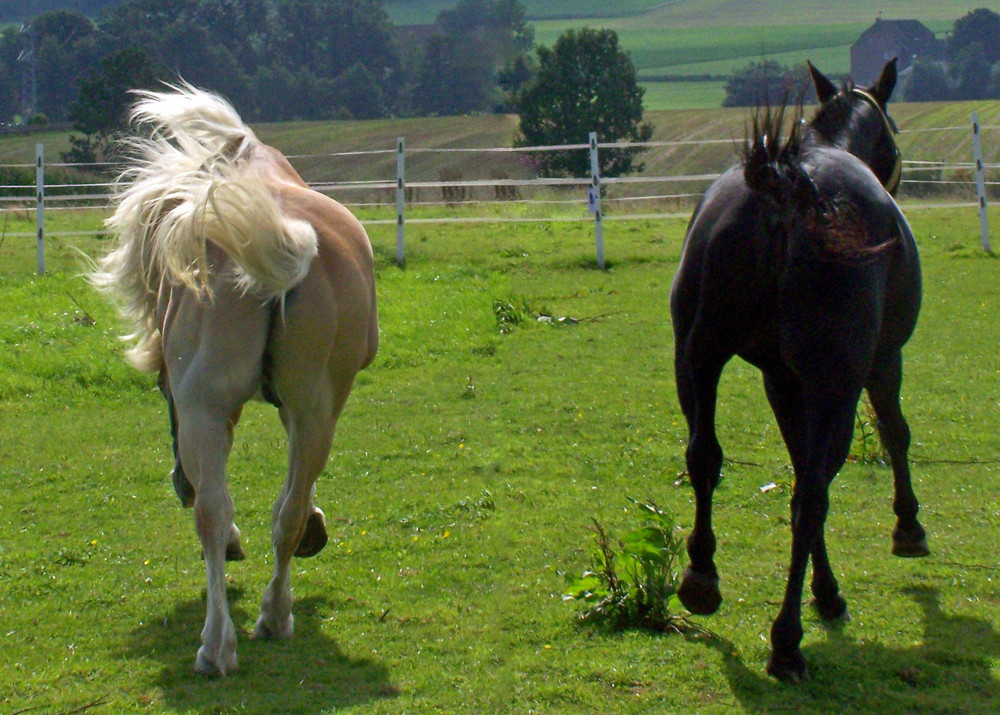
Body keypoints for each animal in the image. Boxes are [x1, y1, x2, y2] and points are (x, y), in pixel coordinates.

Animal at [93, 85, 378, 676]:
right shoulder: (304, 407)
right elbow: (293, 495)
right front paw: (314, 527)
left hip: (205, 409)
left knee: (212, 511)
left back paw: (224, 638)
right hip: (313, 410)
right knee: (279, 511)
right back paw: (268, 618)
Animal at [668, 61, 924, 684]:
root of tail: (786, 186)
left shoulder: (780, 379)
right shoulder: (881, 362)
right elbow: (894, 433)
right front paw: (907, 528)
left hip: (697, 358)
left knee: (704, 457)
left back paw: (702, 576)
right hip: (836, 381)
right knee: (812, 494)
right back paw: (786, 641)